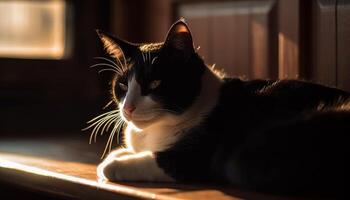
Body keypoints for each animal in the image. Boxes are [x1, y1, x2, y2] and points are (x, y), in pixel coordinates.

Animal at [89, 19, 348, 198]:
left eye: (154, 83)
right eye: (122, 85)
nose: (128, 108)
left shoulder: (195, 154)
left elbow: (155, 161)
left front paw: (112, 164)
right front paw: (119, 153)